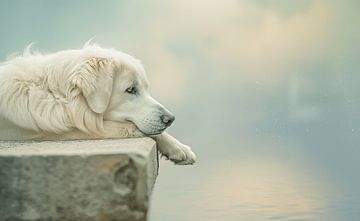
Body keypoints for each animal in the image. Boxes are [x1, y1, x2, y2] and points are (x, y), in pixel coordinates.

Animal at [0, 42, 197, 164]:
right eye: (131, 89)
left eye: (146, 88)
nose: (170, 119)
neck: (58, 96)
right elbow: (126, 128)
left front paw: (178, 148)